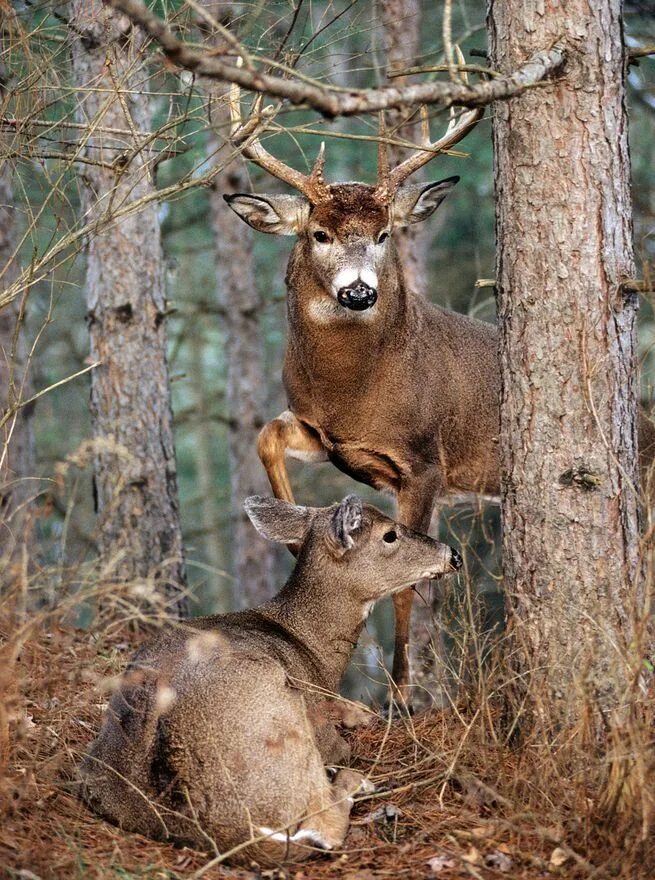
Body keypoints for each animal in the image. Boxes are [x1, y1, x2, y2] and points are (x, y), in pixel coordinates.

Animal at [80, 496, 462, 868]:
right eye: (389, 534)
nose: (454, 554)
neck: (310, 648)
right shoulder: (319, 721)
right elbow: (342, 747)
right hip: (280, 715)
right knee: (322, 824)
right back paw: (355, 783)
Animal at [226, 91, 655, 708]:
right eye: (319, 234)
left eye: (384, 234)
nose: (360, 292)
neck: (351, 393)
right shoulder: (325, 435)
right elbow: (266, 437)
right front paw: (296, 544)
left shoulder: (425, 461)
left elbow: (408, 583)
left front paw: (402, 695)